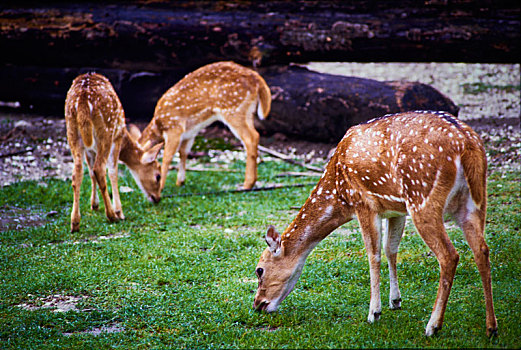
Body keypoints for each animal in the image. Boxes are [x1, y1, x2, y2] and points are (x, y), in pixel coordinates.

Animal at [65, 73, 162, 232]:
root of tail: (83, 101)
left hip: (72, 132)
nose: (157, 198)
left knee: (77, 172)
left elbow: (90, 173)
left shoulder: (90, 150)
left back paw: (75, 223)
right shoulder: (117, 138)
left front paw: (94, 205)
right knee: (99, 169)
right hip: (106, 131)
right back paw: (111, 215)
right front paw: (119, 211)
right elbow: (113, 171)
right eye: (158, 176)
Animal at [131, 60, 272, 191]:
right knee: (255, 135)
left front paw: (161, 186)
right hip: (247, 111)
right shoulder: (189, 133)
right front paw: (180, 181)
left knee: (251, 137)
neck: (158, 125)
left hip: (233, 110)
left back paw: (247, 184)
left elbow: (167, 157)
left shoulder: (174, 128)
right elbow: (183, 152)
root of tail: (256, 79)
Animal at [254, 111, 498, 336]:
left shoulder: (363, 203)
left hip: (422, 198)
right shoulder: (395, 209)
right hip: (473, 201)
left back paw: (433, 326)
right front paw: (395, 301)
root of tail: (467, 146)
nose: (257, 304)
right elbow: (391, 249)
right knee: (482, 249)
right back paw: (491, 327)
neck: (338, 195)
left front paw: (374, 313)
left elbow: (374, 254)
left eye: (259, 270)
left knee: (449, 255)